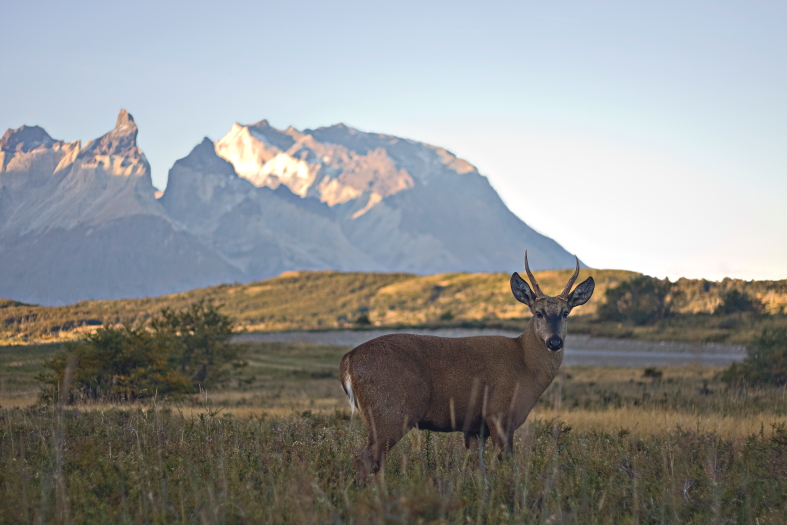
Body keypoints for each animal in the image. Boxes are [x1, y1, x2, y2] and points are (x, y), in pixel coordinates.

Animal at [338, 251, 592, 470]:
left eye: (566, 313)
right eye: (538, 312)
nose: (554, 342)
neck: (526, 364)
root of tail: (348, 360)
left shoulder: (474, 427)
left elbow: (475, 466)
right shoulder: (499, 414)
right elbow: (506, 463)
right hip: (389, 412)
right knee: (365, 459)